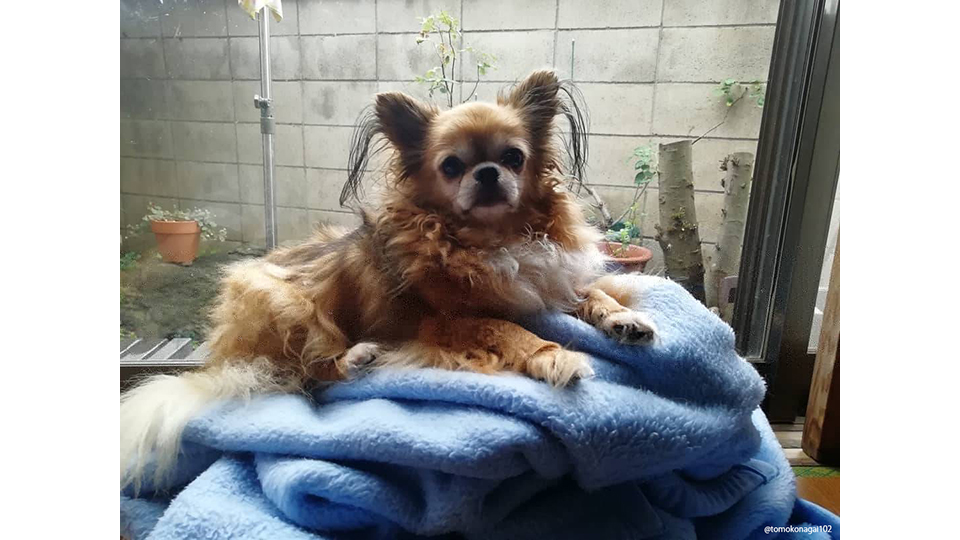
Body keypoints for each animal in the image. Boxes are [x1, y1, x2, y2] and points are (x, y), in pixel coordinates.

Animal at [120, 70, 656, 493]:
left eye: (514, 158)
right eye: (451, 165)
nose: (487, 173)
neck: (488, 238)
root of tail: (225, 353)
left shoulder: (547, 283)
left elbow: (594, 293)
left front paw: (624, 319)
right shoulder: (452, 320)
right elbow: (513, 331)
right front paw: (556, 356)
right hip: (293, 306)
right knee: (312, 376)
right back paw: (357, 358)